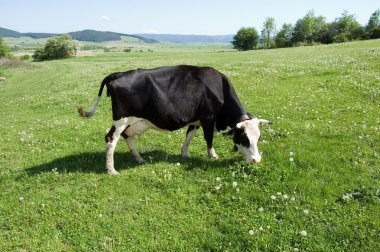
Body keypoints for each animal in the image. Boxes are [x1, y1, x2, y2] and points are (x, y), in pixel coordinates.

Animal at [78, 65, 270, 175]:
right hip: (121, 119)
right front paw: (213, 155)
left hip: (134, 122)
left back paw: (138, 158)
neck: (219, 88)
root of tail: (119, 74)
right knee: (110, 139)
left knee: (127, 136)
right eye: (244, 138)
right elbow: (208, 138)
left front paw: (184, 154)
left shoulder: (195, 120)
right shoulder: (208, 118)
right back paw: (111, 170)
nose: (257, 160)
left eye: (258, 138)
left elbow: (189, 136)